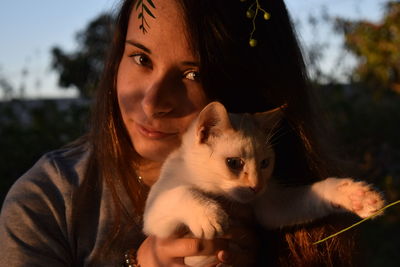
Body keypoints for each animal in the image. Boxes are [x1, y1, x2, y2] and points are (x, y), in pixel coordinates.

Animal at [144, 101, 384, 266]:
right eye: (234, 163)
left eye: (265, 163)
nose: (257, 187)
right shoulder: (154, 216)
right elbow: (181, 191)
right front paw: (209, 214)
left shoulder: (271, 208)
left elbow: (316, 194)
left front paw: (358, 197)